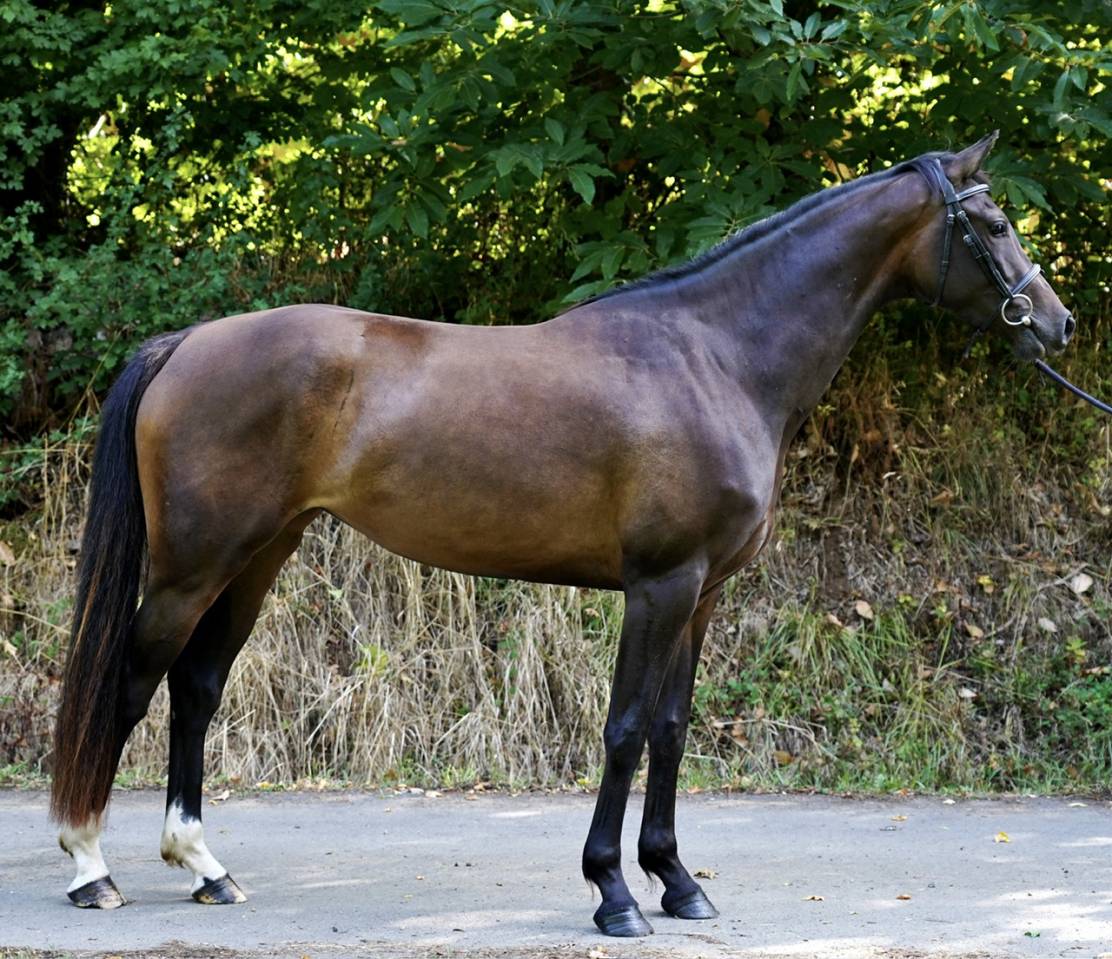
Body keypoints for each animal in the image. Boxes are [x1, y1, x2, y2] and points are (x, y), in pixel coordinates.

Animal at [52, 133, 1073, 936]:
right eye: (992, 224)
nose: (1057, 324)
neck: (715, 356)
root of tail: (187, 342)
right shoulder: (660, 584)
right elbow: (624, 730)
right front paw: (614, 892)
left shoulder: (703, 593)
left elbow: (671, 727)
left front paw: (678, 882)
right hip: (192, 566)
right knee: (132, 682)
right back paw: (90, 865)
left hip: (261, 555)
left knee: (197, 685)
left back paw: (205, 866)